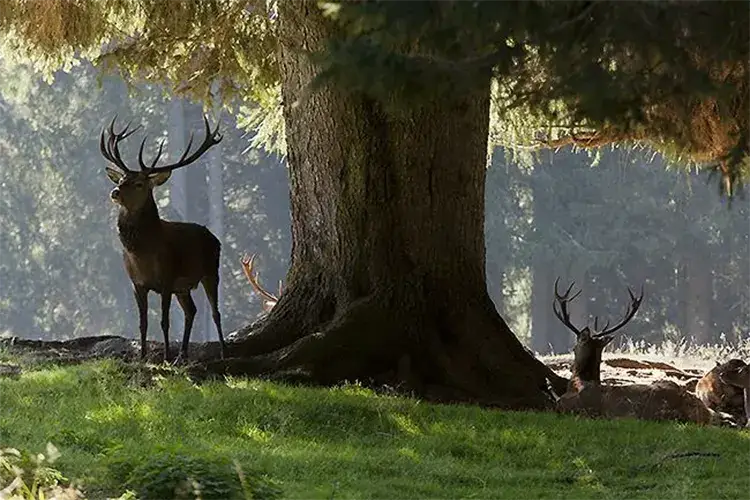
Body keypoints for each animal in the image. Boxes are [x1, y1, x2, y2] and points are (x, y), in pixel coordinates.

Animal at [101, 115, 226, 363]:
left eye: (139, 183)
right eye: (121, 179)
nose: (115, 192)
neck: (141, 255)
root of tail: (214, 236)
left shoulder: (167, 279)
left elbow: (165, 322)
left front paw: (166, 357)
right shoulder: (137, 284)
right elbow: (143, 323)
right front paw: (143, 357)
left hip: (210, 271)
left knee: (215, 312)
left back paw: (223, 352)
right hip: (183, 287)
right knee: (191, 310)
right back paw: (182, 355)